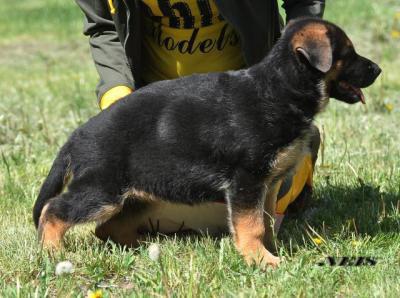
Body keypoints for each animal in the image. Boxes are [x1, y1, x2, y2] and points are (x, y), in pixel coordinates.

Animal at [32, 18, 380, 268]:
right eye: (348, 53)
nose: (378, 69)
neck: (280, 90)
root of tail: (77, 136)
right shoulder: (246, 182)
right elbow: (252, 225)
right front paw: (260, 260)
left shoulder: (268, 184)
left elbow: (266, 222)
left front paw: (272, 251)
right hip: (103, 190)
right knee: (54, 210)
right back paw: (52, 252)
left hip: (138, 196)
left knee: (106, 229)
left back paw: (145, 248)